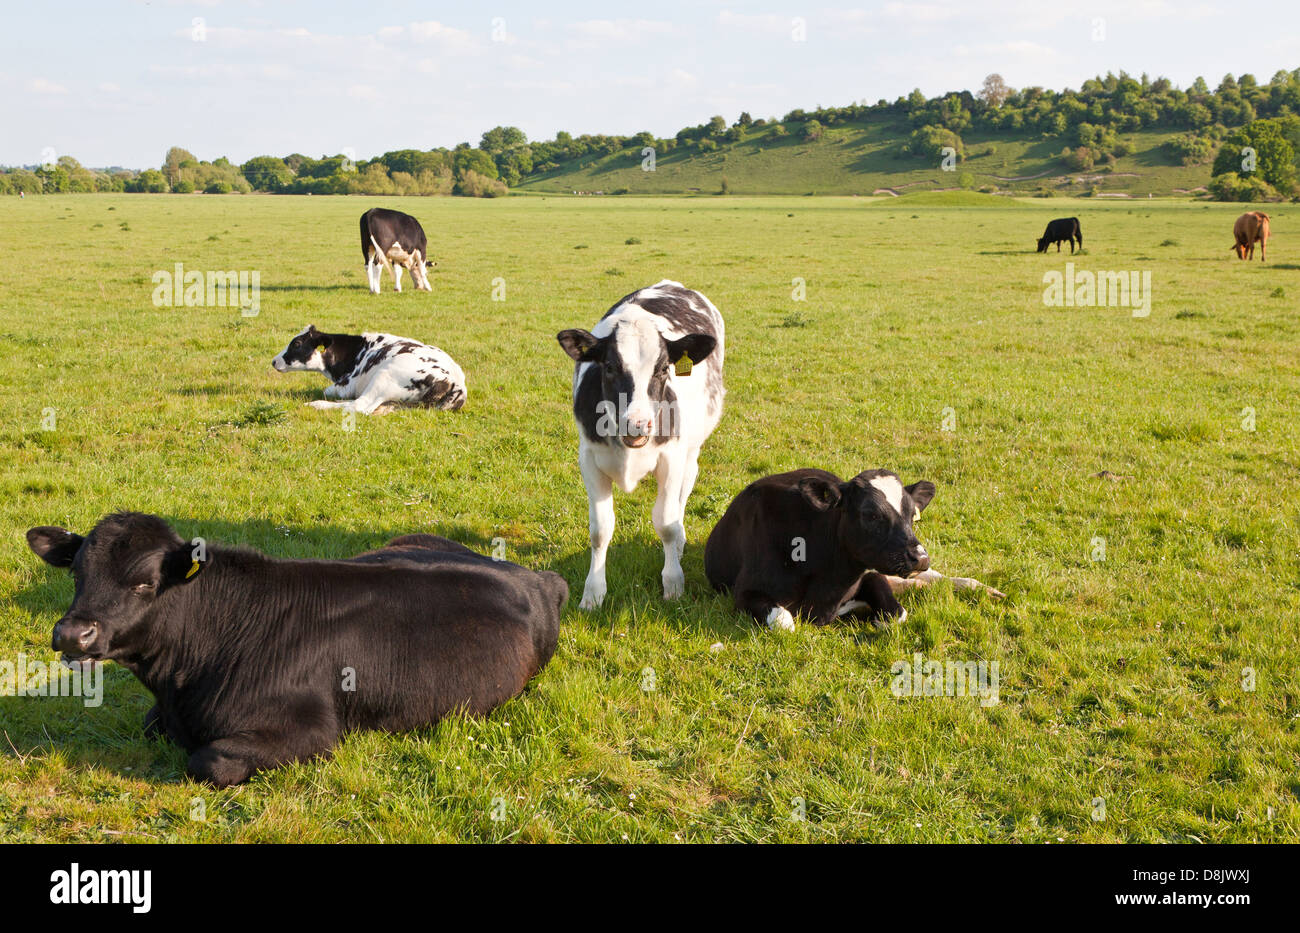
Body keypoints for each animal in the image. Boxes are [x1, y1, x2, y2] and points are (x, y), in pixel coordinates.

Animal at [25, 512, 567, 787]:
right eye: (76, 573)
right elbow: (150, 723)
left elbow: (208, 762)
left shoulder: (314, 733)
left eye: (143, 584)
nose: (72, 635)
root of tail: (534, 575)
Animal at [272, 324, 466, 414]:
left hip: (385, 376)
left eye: (297, 343)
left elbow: (328, 391)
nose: (274, 361)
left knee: (359, 406)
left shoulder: (346, 385)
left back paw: (317, 404)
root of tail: (457, 383)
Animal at [556, 280, 725, 609]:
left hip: (691, 450)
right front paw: (593, 593)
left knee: (684, 493)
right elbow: (600, 529)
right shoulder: (589, 459)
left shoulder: (671, 458)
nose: (637, 423)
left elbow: (666, 524)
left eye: (663, 369)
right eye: (609, 367)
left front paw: (673, 583)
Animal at [704, 468, 1004, 631]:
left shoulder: (870, 572)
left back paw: (983, 589)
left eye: (912, 515)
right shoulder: (745, 592)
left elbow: (896, 614)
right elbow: (784, 622)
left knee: (936, 579)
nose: (920, 557)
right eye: (870, 514)